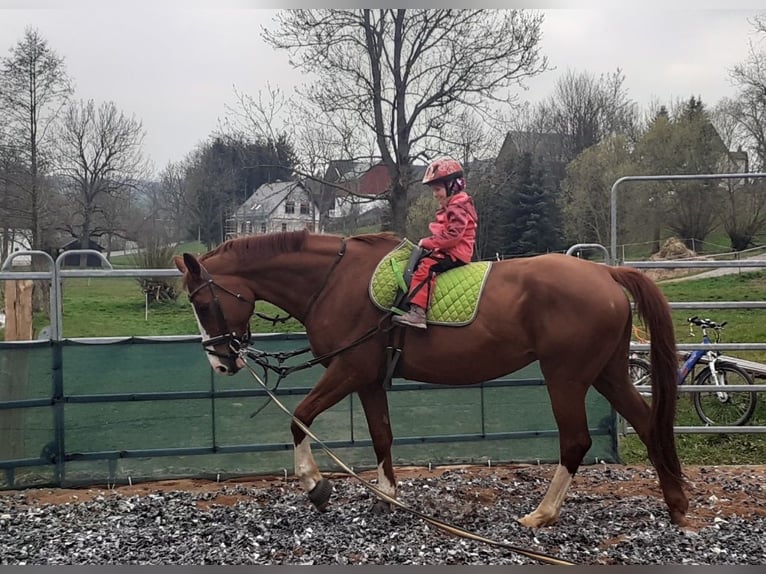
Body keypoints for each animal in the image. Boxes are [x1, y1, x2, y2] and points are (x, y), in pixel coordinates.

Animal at [173, 229, 688, 528]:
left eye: (201, 303)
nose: (221, 363)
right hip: (607, 373)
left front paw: (315, 486)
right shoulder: (368, 379)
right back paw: (675, 502)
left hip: (566, 377)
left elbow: (299, 418)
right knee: (648, 424)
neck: (335, 280)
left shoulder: (348, 370)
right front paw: (387, 496)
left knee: (576, 441)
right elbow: (381, 434)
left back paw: (543, 513)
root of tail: (607, 273)